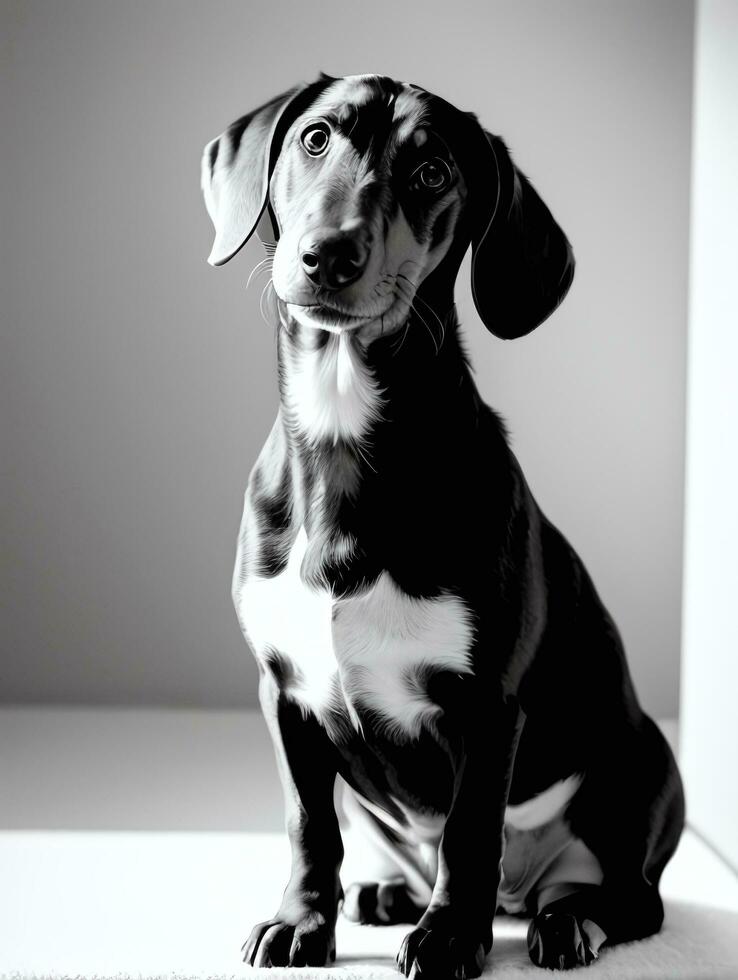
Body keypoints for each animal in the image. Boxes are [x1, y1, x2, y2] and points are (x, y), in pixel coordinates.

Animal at [200, 74, 684, 972]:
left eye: (431, 173)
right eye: (315, 138)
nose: (328, 253)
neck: (344, 439)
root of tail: (527, 889)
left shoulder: (487, 708)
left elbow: (468, 832)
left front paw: (453, 937)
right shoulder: (284, 695)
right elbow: (308, 825)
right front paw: (302, 921)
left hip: (636, 769)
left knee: (628, 896)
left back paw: (568, 920)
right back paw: (388, 892)